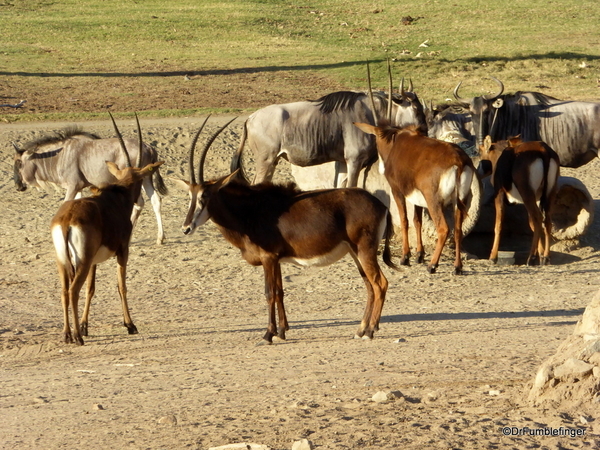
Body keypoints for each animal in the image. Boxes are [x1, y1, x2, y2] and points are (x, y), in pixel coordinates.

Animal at [12, 125, 168, 244]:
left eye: (19, 162)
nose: (18, 186)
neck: (60, 154)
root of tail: (148, 147)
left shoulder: (72, 186)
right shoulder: (79, 188)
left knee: (140, 202)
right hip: (146, 178)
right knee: (155, 200)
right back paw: (159, 238)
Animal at [50, 114, 163, 346]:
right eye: (140, 178)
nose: (138, 197)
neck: (117, 197)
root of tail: (66, 220)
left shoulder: (94, 261)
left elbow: (91, 289)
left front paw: (85, 326)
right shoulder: (123, 250)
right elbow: (121, 286)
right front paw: (130, 325)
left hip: (64, 262)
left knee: (65, 291)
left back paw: (67, 335)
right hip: (82, 262)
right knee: (73, 291)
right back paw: (77, 337)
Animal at [175, 117, 398, 344]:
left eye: (205, 195)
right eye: (190, 195)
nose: (186, 228)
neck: (250, 211)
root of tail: (381, 205)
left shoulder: (268, 258)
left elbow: (269, 293)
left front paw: (268, 334)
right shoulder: (277, 260)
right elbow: (280, 292)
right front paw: (282, 331)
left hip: (365, 250)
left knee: (380, 283)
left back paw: (370, 331)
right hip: (355, 253)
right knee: (369, 286)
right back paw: (361, 329)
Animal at [231, 60, 426, 187]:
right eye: (417, 109)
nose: (424, 132)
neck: (372, 112)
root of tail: (250, 118)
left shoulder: (342, 163)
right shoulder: (354, 161)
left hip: (273, 161)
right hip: (266, 160)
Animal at [476, 135, 560, 266]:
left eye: (479, 152)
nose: (478, 171)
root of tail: (544, 151)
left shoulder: (499, 194)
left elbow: (498, 225)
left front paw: (493, 257)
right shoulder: (535, 199)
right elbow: (532, 224)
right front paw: (541, 254)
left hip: (527, 194)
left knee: (538, 217)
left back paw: (531, 258)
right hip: (548, 194)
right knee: (546, 220)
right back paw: (546, 257)